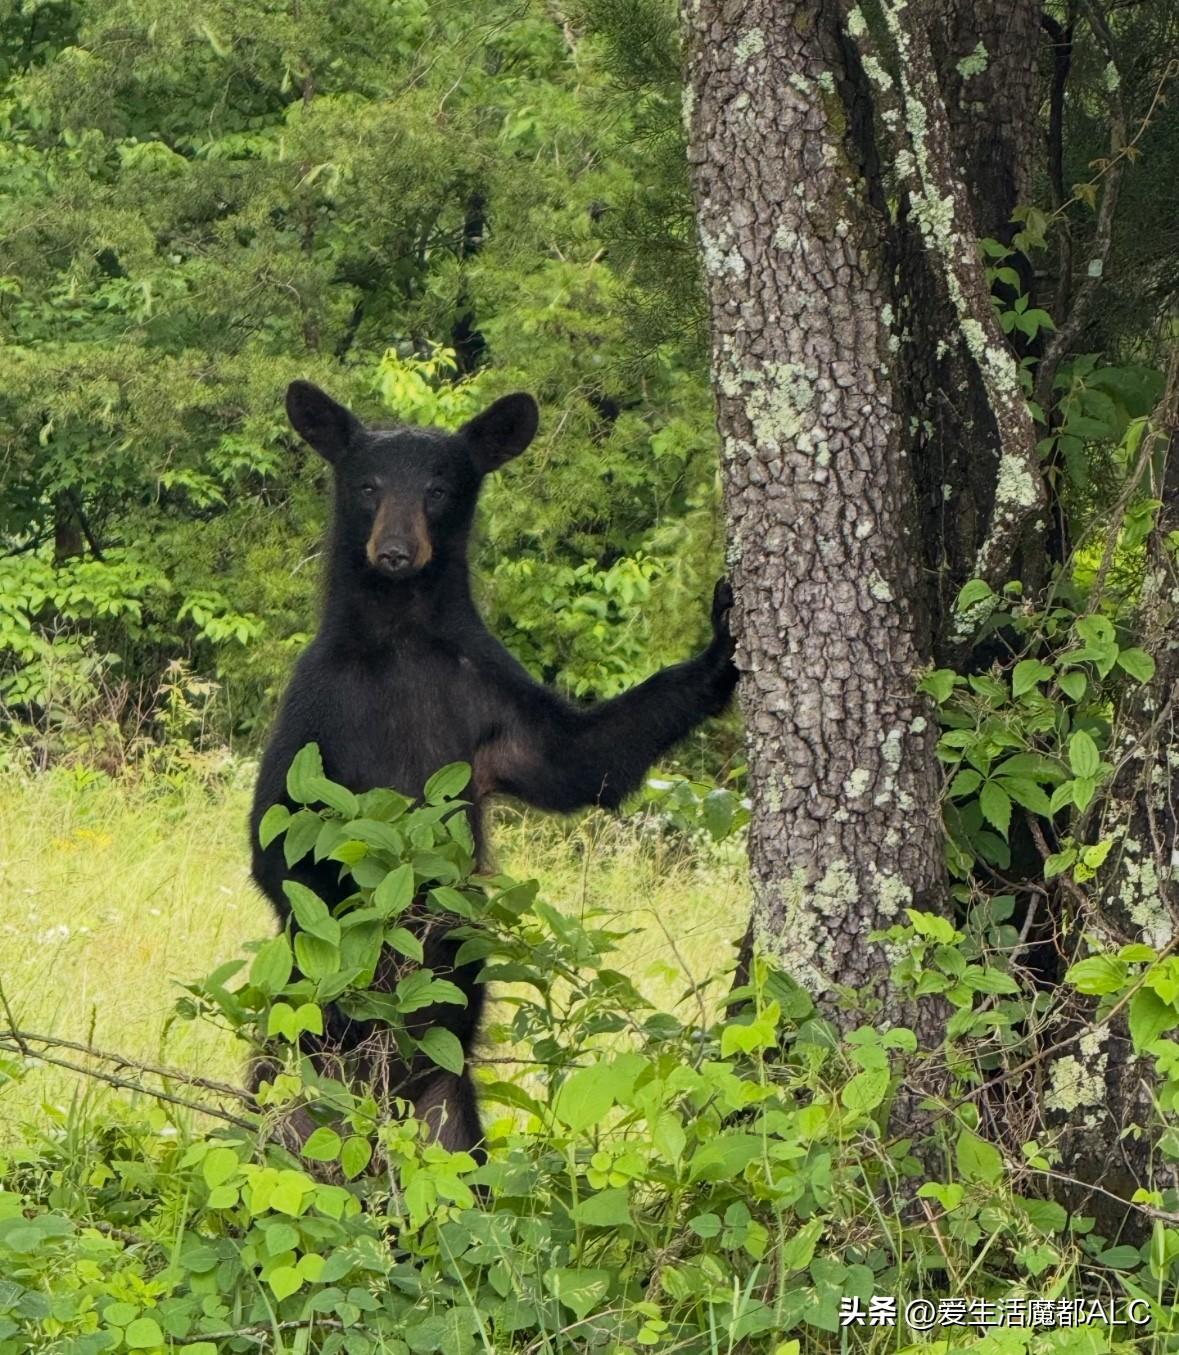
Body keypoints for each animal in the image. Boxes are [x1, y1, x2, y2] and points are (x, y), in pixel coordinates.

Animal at [250, 380, 739, 1154]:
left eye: (439, 489)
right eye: (367, 485)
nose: (394, 551)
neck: (401, 636)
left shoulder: (486, 692)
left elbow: (580, 761)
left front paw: (722, 642)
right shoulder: (313, 707)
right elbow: (277, 835)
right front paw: (365, 945)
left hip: (446, 1108)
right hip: (288, 1071)